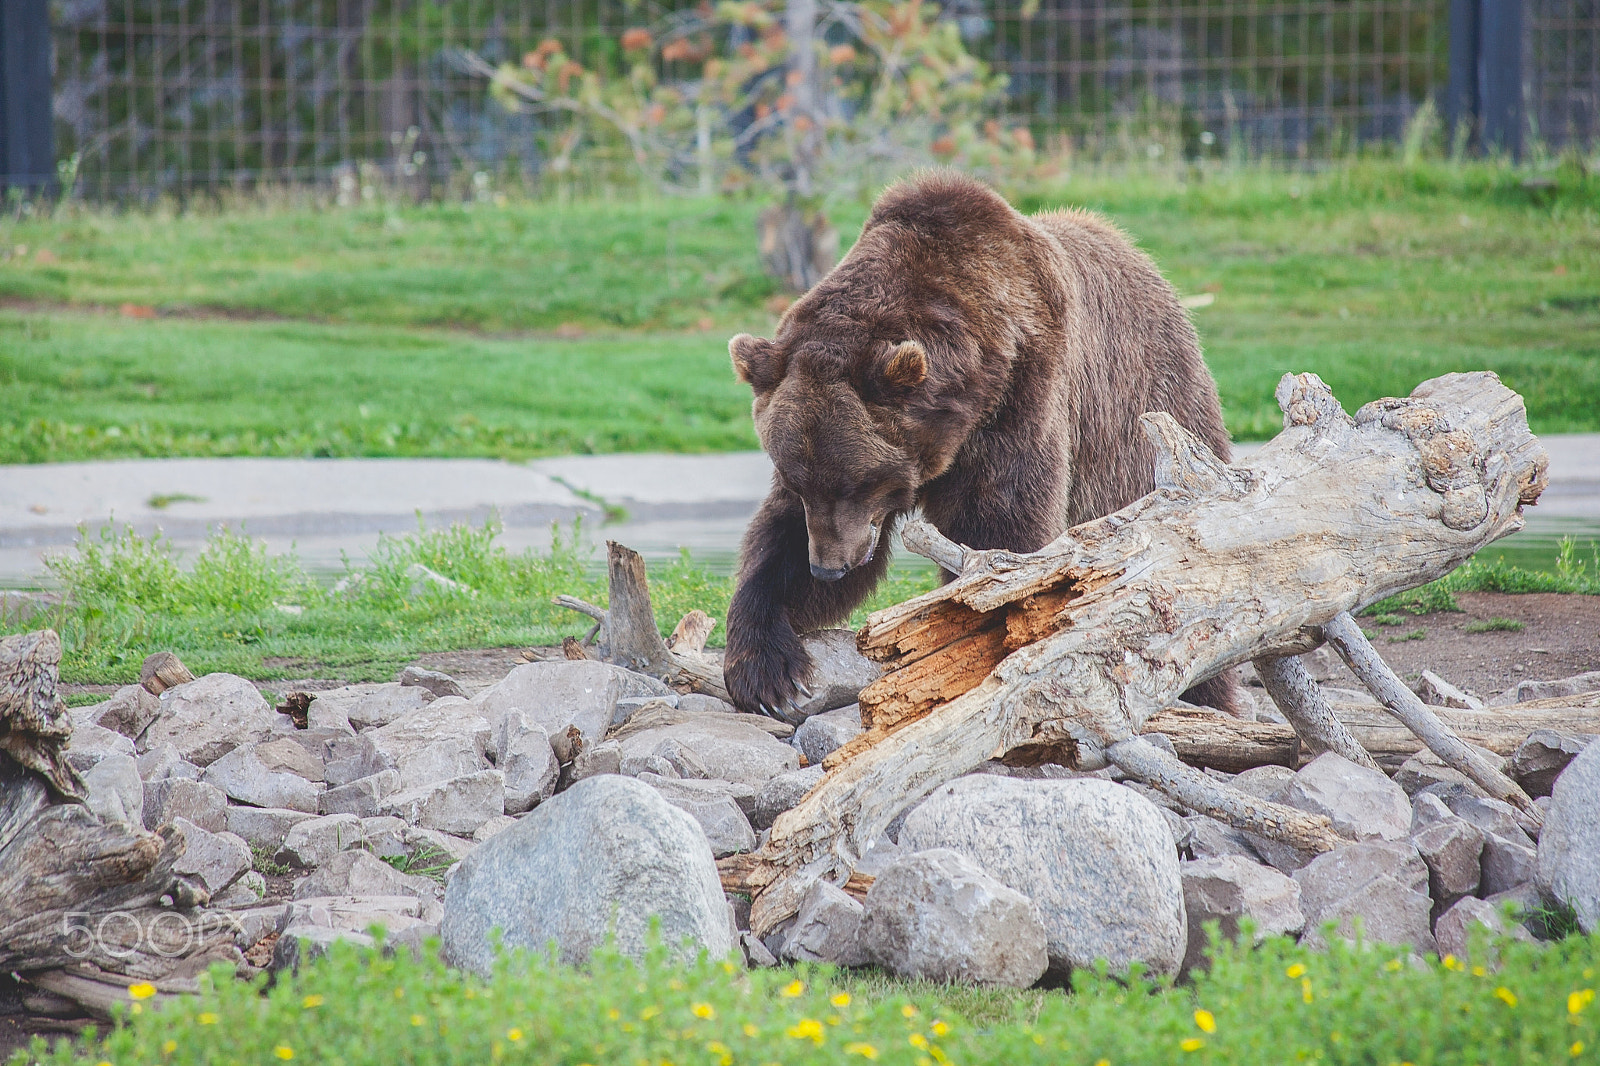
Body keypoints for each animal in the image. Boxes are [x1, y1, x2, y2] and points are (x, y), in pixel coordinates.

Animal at [724, 171, 1240, 723]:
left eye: (857, 482)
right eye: (800, 479)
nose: (828, 566)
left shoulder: (1020, 397)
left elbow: (999, 526)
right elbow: (775, 542)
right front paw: (767, 671)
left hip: (1143, 416)